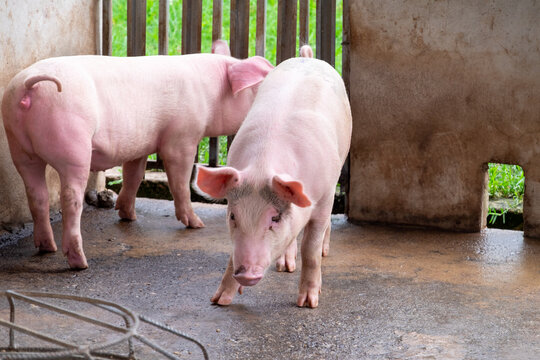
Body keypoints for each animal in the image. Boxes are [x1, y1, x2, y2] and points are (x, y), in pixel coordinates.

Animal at [2, 42, 274, 268]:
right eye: (258, 90)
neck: (209, 93)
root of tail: (31, 86)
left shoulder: (140, 145)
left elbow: (134, 175)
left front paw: (128, 216)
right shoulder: (181, 137)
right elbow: (180, 180)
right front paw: (197, 224)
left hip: (18, 145)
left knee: (36, 194)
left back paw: (47, 248)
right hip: (73, 144)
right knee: (69, 198)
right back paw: (79, 262)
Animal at [196, 47, 352, 308]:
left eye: (275, 218)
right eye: (232, 216)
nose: (246, 274)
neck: (262, 167)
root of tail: (307, 58)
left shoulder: (324, 195)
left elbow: (310, 249)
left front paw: (308, 303)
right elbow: (232, 254)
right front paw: (219, 300)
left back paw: (322, 253)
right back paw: (285, 267)